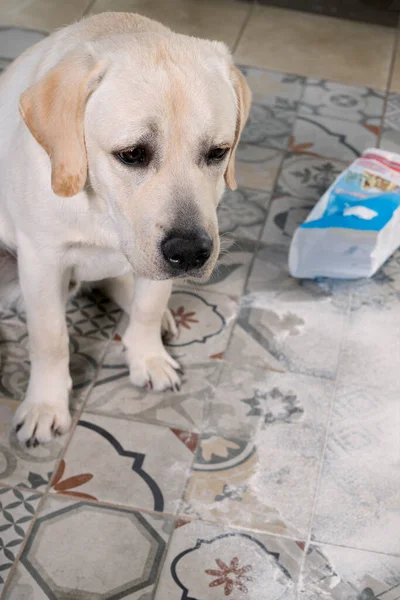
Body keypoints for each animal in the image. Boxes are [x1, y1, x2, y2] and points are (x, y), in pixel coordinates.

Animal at [0, 11, 250, 446]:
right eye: (132, 154)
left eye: (218, 152)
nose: (191, 253)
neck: (104, 210)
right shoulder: (42, 261)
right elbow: (50, 340)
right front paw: (46, 404)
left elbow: (148, 308)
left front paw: (147, 357)